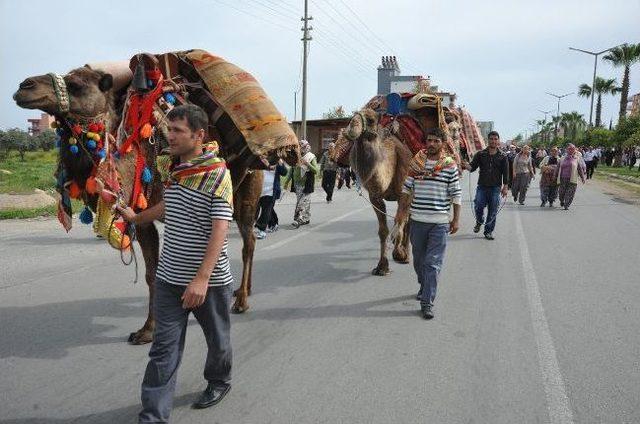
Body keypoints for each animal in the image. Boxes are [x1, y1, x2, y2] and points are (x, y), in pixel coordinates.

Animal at [12, 53, 298, 344]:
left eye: (76, 85)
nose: (24, 86)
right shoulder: (142, 215)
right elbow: (154, 272)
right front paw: (151, 326)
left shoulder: (146, 209)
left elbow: (152, 274)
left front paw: (148, 330)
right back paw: (243, 291)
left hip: (247, 189)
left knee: (248, 240)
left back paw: (241, 301)